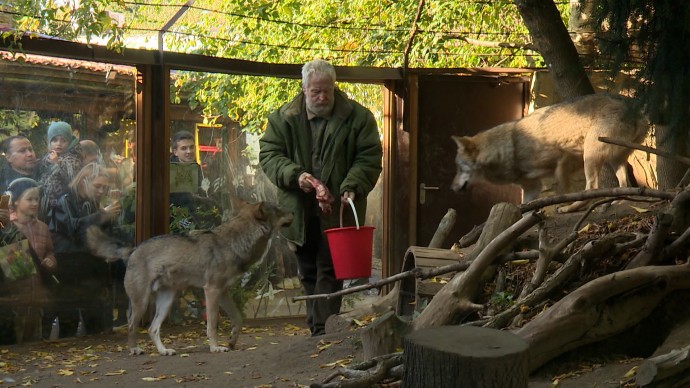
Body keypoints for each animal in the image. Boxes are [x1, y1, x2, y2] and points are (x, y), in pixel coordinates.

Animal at [84, 202, 292, 356]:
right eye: (279, 210)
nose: (294, 213)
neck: (235, 241)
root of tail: (133, 250)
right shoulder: (212, 291)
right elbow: (212, 325)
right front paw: (215, 347)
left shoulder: (223, 292)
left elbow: (238, 319)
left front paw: (232, 341)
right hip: (141, 303)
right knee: (131, 326)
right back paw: (134, 349)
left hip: (166, 302)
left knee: (152, 329)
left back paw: (164, 351)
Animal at [448, 93, 648, 212]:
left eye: (458, 168)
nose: (452, 188)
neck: (509, 148)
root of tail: (631, 104)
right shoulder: (532, 186)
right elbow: (524, 207)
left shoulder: (562, 161)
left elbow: (562, 191)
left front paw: (562, 204)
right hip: (614, 160)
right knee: (625, 183)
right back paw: (620, 201)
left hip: (590, 158)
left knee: (592, 188)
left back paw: (570, 208)